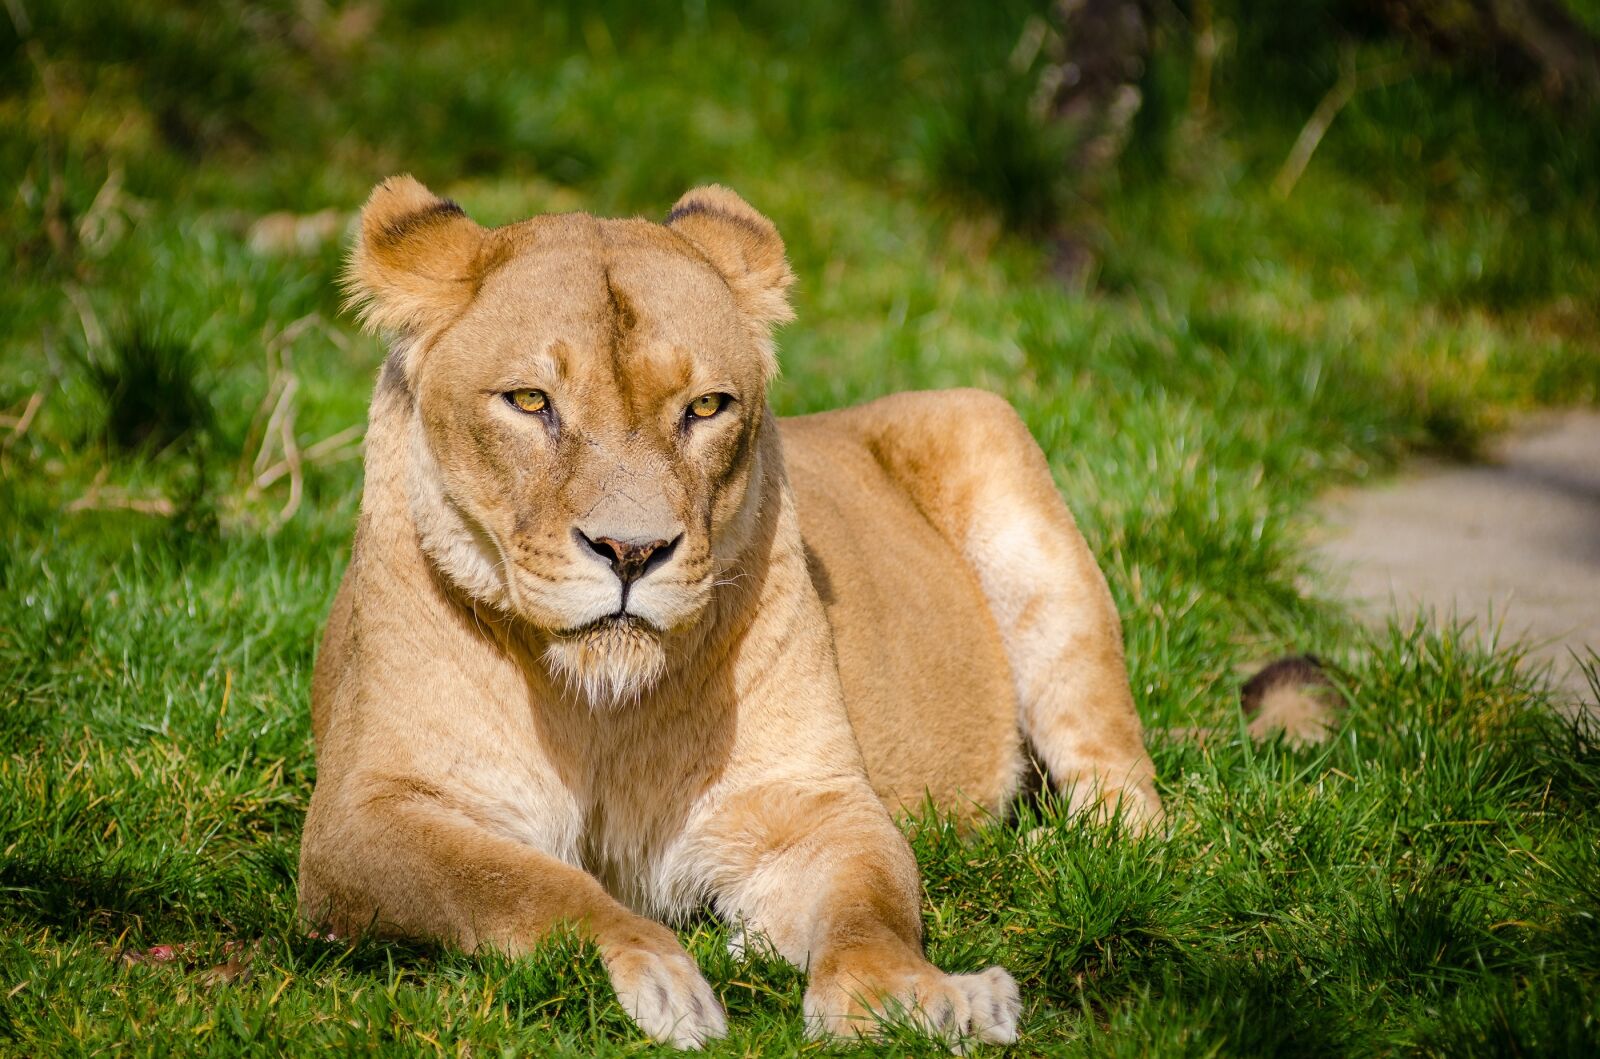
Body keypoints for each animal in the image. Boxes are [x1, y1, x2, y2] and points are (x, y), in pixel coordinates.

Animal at [297, 176, 1163, 1049]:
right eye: (530, 400)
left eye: (707, 406)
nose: (632, 550)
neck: (602, 711)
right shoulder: (359, 820)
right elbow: (524, 884)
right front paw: (662, 975)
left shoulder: (812, 801)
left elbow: (871, 912)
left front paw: (914, 999)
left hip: (1001, 463)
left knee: (1133, 800)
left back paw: (1059, 851)